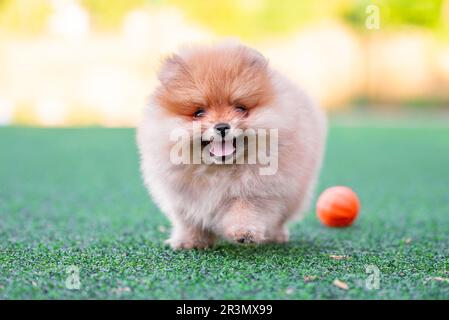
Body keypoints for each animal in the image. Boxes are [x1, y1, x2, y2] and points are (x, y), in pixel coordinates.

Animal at [136, 41, 326, 249]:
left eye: (240, 109)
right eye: (199, 113)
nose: (222, 126)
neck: (218, 171)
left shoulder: (258, 192)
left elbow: (245, 210)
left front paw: (244, 232)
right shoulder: (184, 200)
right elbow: (189, 221)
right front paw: (190, 241)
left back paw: (276, 236)